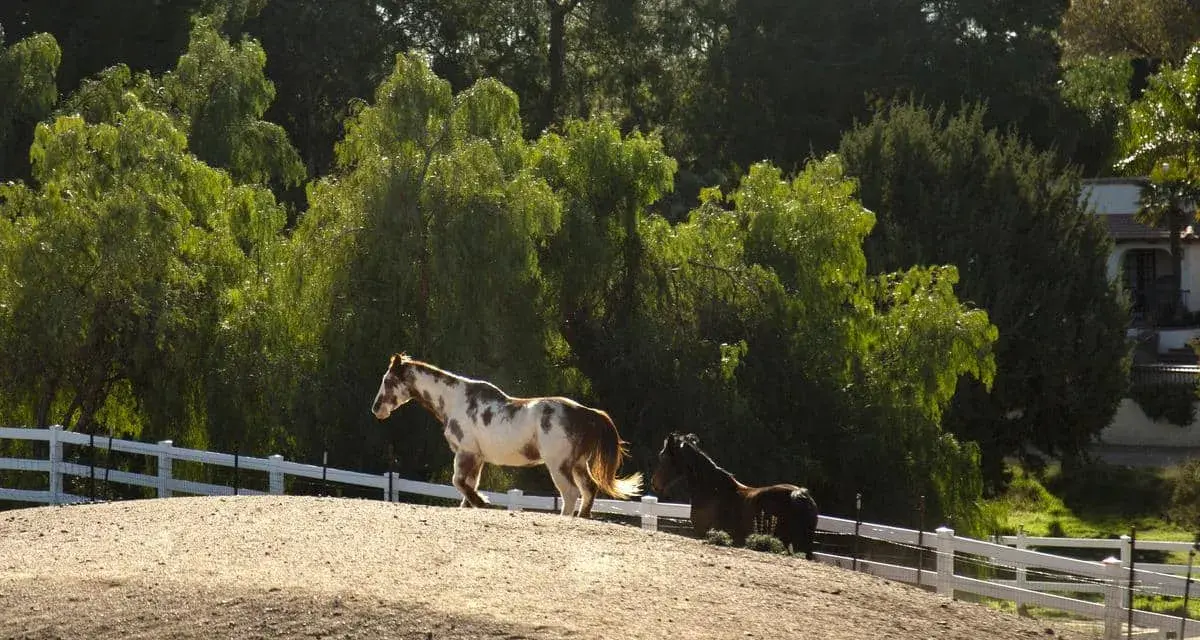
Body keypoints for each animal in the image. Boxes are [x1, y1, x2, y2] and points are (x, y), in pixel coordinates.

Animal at [371, 353, 643, 516]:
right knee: (589, 490)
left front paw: (483, 502)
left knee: (571, 494)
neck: (454, 400)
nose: (376, 409)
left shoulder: (465, 453)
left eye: (388, 380)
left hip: (559, 466)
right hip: (577, 464)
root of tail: (586, 413)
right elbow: (468, 486)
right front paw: (474, 504)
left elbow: (459, 483)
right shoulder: (477, 458)